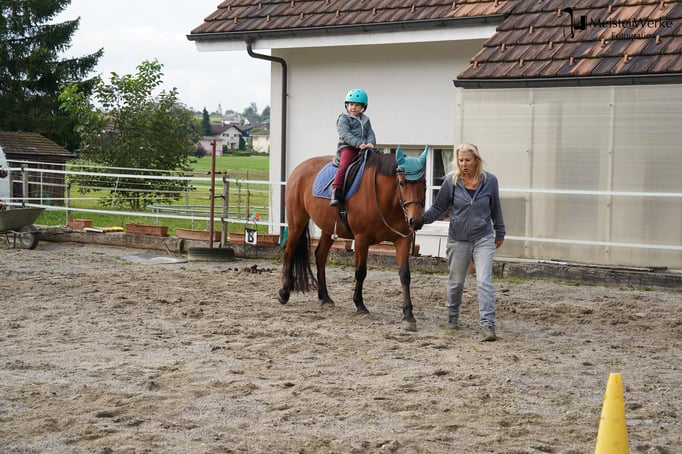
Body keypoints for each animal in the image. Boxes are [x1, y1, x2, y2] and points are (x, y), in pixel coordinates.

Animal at [278, 146, 428, 331]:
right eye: (402, 183)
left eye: (424, 183)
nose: (416, 221)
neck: (385, 199)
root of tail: (299, 169)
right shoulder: (362, 239)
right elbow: (360, 272)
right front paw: (360, 305)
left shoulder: (403, 240)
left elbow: (405, 275)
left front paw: (408, 315)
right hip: (296, 222)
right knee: (289, 252)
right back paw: (284, 293)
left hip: (327, 228)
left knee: (320, 256)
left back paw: (325, 297)